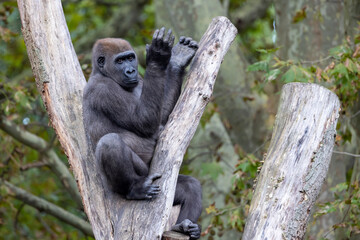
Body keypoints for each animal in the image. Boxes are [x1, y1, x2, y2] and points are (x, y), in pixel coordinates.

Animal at [82, 27, 202, 239]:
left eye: (130, 58)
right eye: (119, 61)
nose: (131, 70)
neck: (103, 73)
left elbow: (160, 119)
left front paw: (176, 61)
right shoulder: (103, 89)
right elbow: (143, 120)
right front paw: (158, 57)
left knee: (190, 187)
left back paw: (184, 226)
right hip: (128, 181)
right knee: (110, 143)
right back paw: (134, 189)